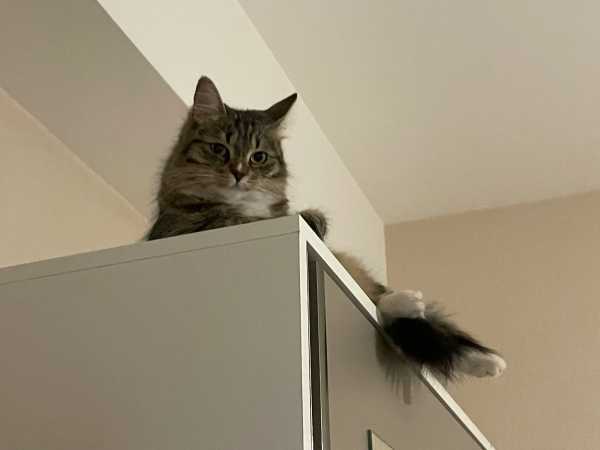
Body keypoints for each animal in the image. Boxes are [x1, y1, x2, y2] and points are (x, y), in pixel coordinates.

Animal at [146, 77, 506, 380]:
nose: (238, 173)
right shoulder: (184, 228)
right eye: (219, 149)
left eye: (258, 157)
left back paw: (484, 359)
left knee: (387, 304)